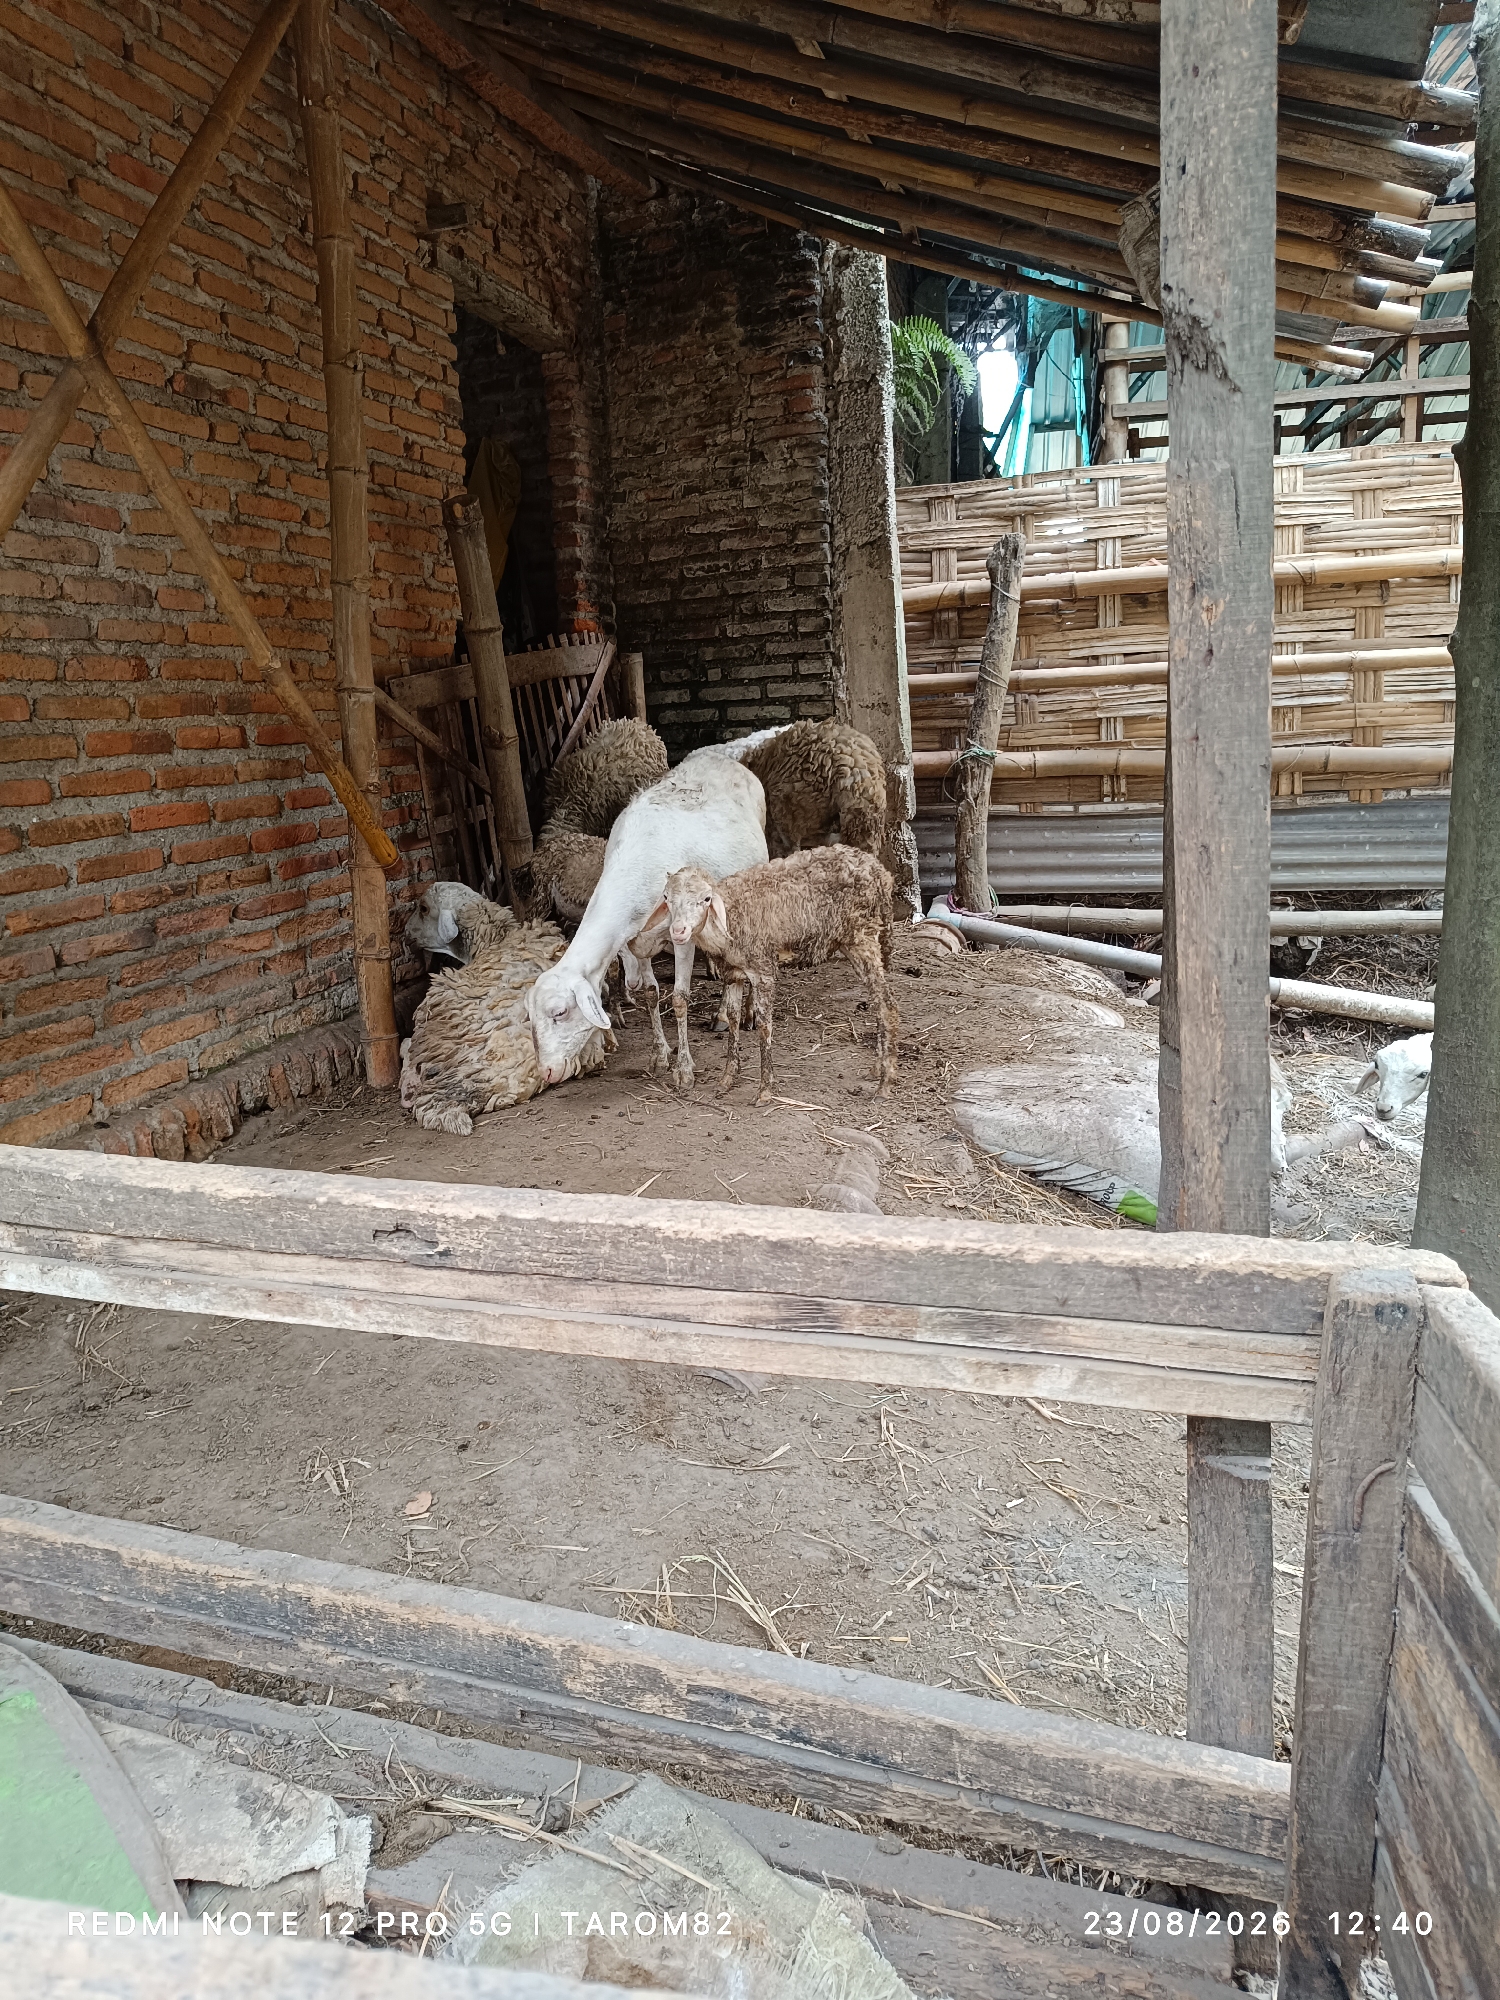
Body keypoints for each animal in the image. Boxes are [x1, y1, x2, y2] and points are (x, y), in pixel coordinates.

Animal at [525, 750, 769, 1092]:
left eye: (559, 1012)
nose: (546, 1072)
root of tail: (720, 756)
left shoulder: (682, 937)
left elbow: (679, 999)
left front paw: (684, 1069)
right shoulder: (636, 939)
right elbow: (651, 994)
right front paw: (660, 1055)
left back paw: (737, 1015)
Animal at [660, 846, 898, 1105]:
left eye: (706, 899)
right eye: (666, 898)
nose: (678, 931)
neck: (729, 916)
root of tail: (879, 871)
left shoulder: (763, 969)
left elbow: (765, 1025)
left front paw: (765, 1090)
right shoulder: (733, 972)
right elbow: (733, 1018)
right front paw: (727, 1078)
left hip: (862, 936)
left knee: (887, 1005)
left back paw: (885, 1083)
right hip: (851, 941)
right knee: (877, 1002)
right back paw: (877, 1068)